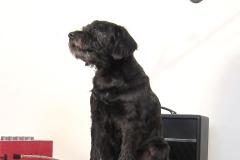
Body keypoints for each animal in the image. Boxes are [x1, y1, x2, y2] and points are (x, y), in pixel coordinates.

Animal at [67, 20, 169, 159]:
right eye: (85, 27)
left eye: (96, 29)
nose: (70, 35)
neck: (110, 75)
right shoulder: (97, 118)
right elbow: (94, 149)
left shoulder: (130, 122)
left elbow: (126, 151)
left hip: (158, 147)